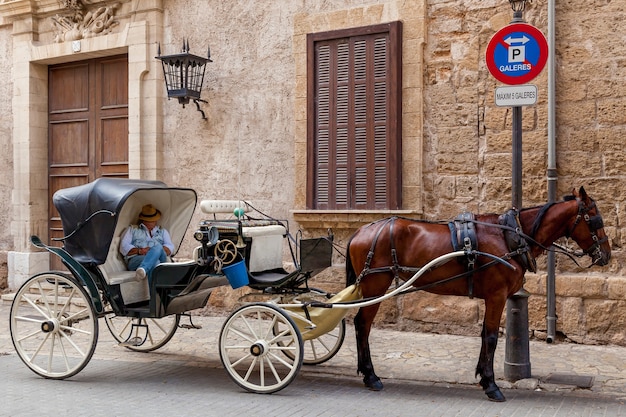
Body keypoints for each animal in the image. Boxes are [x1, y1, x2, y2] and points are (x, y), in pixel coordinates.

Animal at [344, 187, 608, 402]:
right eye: (595, 220)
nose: (607, 254)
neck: (511, 237)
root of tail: (360, 230)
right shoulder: (496, 296)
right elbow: (490, 337)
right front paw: (491, 384)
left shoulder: (494, 298)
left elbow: (484, 336)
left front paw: (482, 376)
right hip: (375, 285)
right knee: (363, 325)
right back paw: (370, 375)